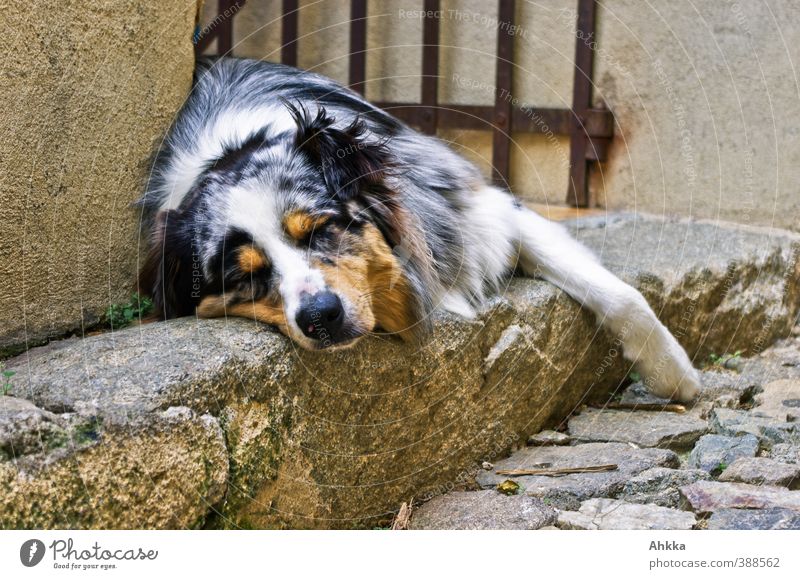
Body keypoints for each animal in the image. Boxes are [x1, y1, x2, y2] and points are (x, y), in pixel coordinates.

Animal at [139, 57, 700, 404]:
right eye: (245, 276)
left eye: (320, 229)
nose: (320, 318)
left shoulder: (483, 210)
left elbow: (622, 296)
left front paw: (677, 377)